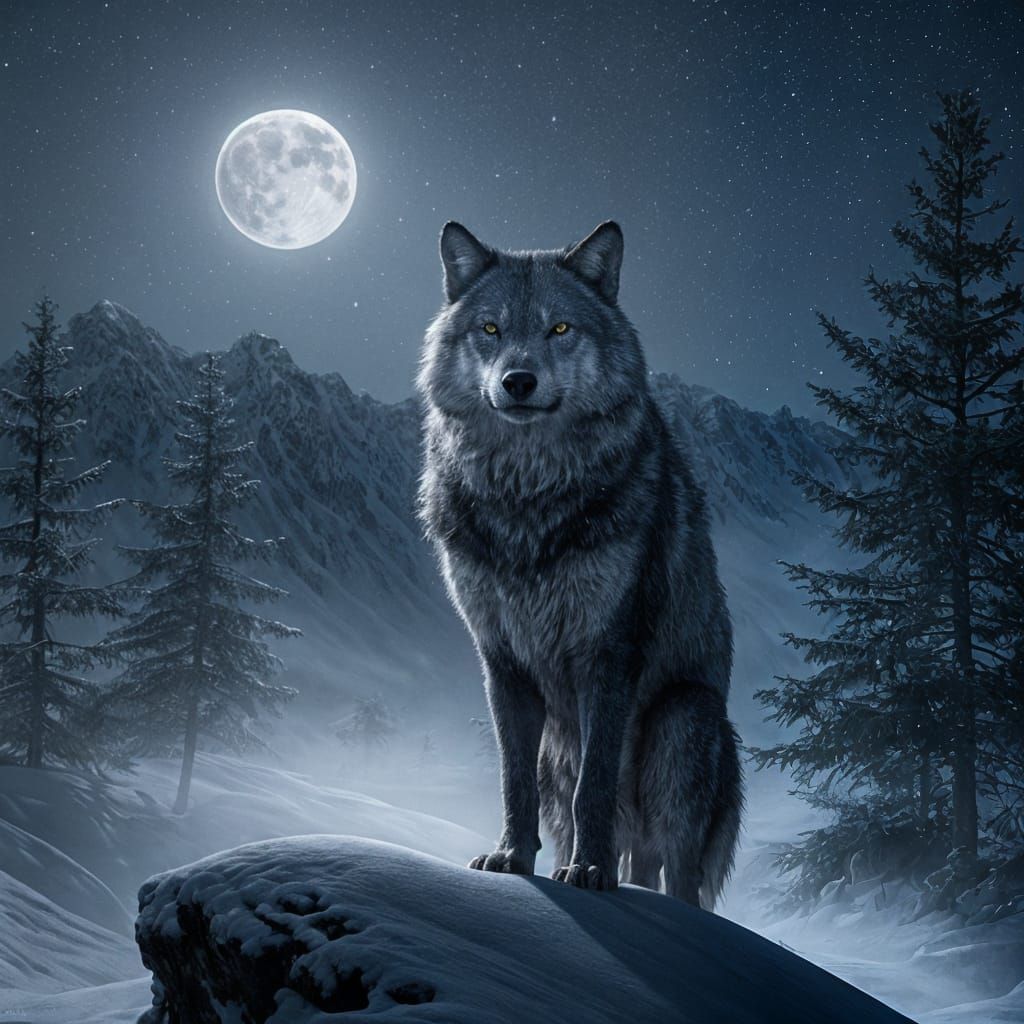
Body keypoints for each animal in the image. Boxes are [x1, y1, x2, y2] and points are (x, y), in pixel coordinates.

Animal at [416, 220, 742, 908]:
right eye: (491, 328)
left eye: (559, 328)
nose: (517, 380)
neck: (527, 499)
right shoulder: (502, 663)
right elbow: (513, 781)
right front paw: (512, 859)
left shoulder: (607, 655)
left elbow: (597, 783)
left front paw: (590, 872)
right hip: (555, 754)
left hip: (682, 720)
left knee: (676, 880)